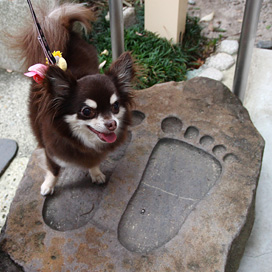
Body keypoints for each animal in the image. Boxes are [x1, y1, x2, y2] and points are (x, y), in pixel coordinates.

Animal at [14, 1, 135, 194]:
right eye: (86, 111)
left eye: (115, 107)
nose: (112, 124)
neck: (84, 141)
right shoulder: (51, 153)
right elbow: (53, 170)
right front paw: (48, 185)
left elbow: (94, 163)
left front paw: (96, 173)